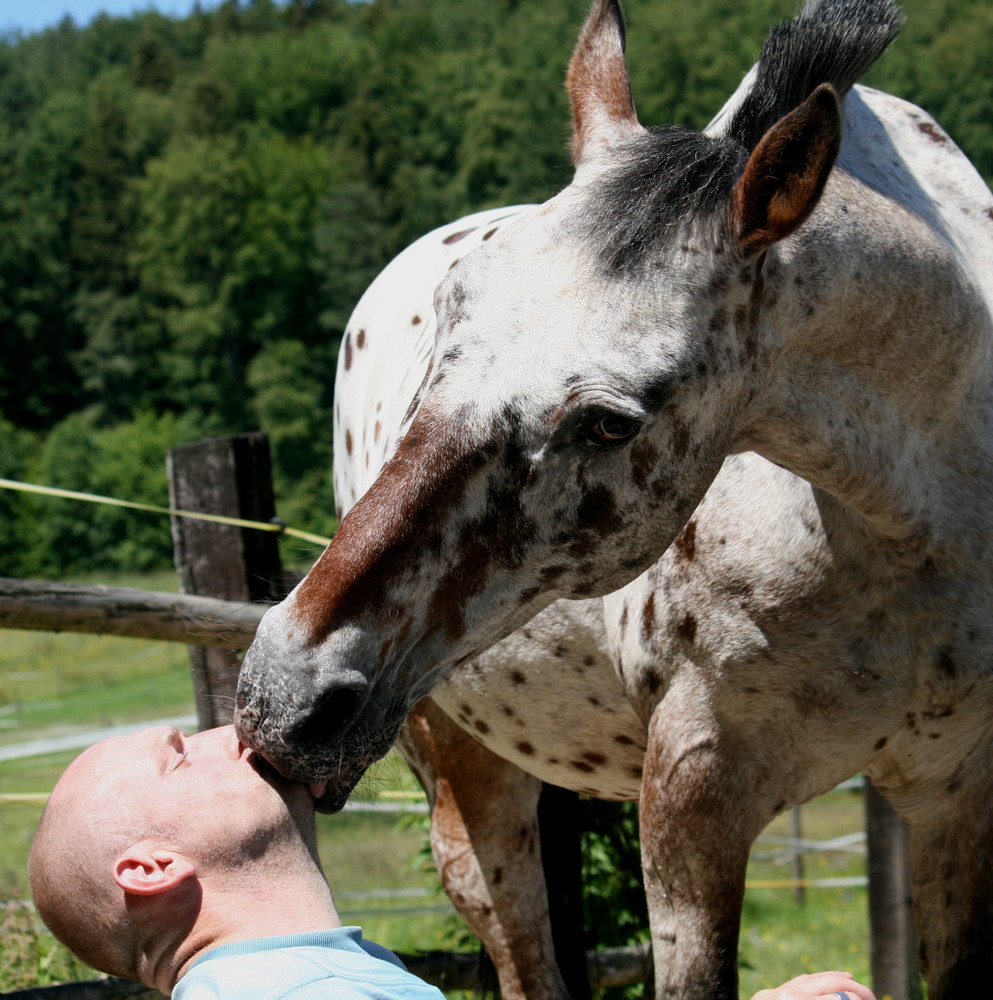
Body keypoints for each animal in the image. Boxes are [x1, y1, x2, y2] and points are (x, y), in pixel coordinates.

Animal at [236, 3, 992, 996]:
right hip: (467, 778)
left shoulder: (956, 798)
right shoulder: (692, 799)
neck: (919, 531)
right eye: (451, 312)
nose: (281, 694)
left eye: (607, 423)